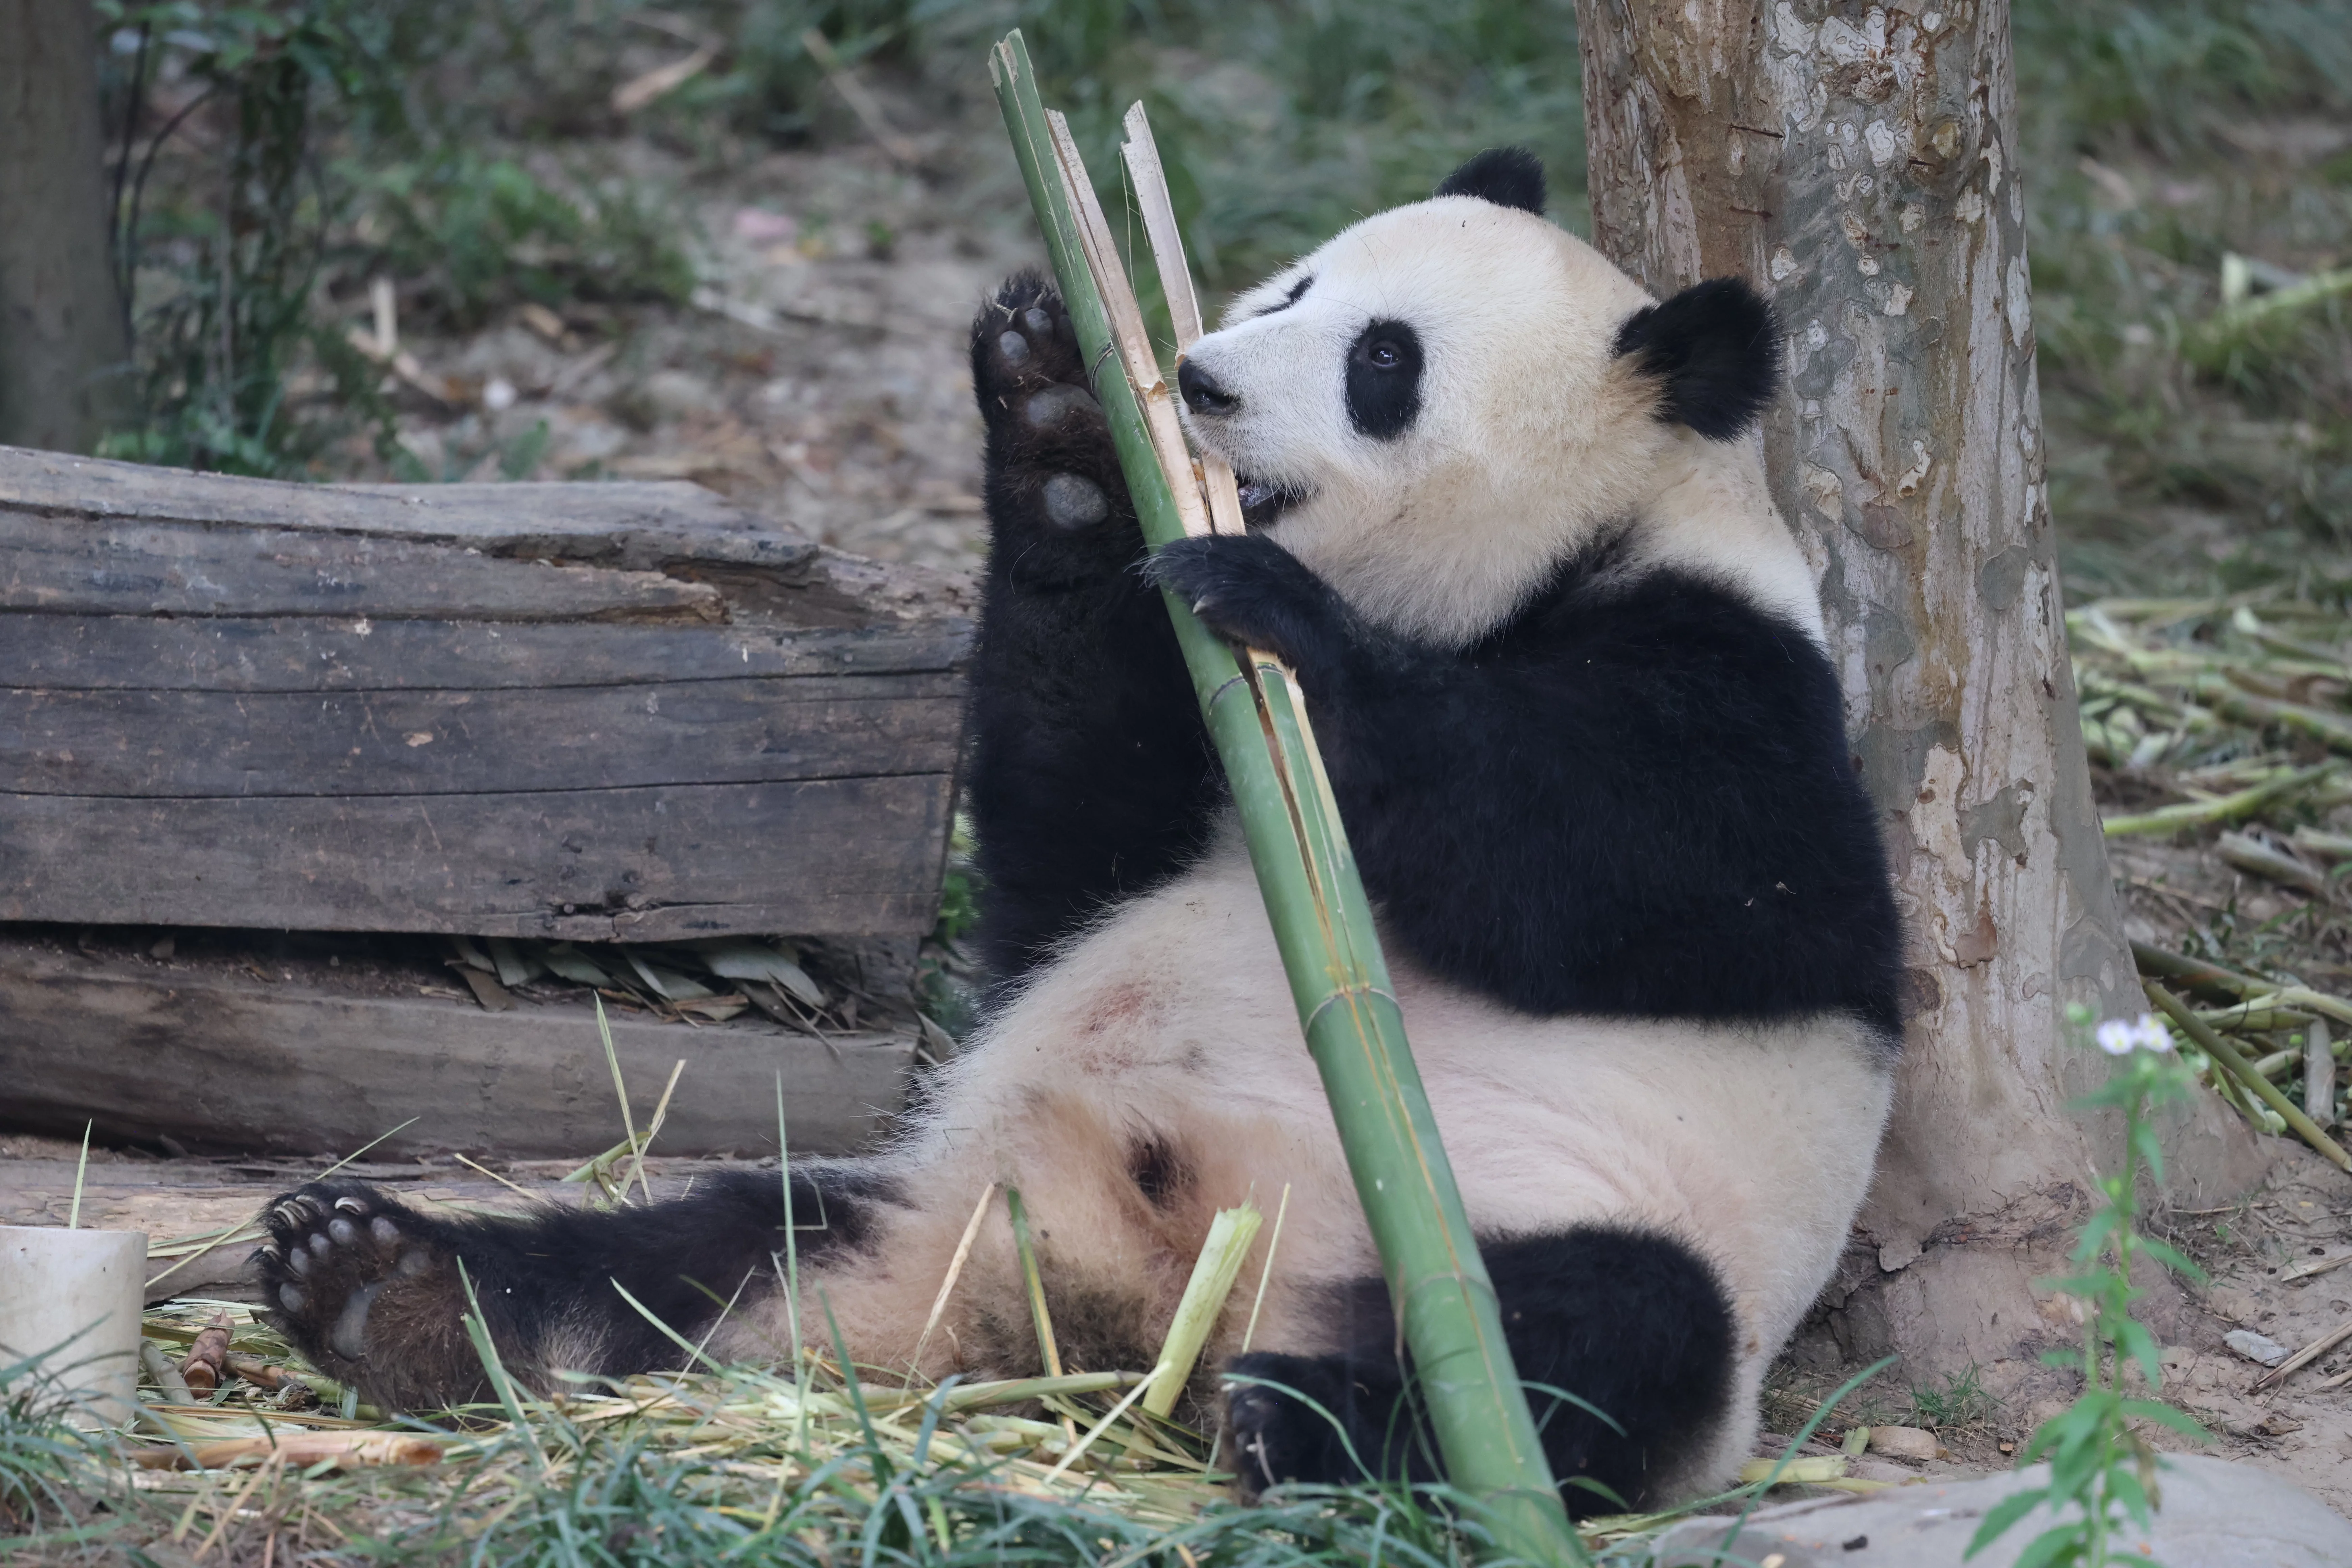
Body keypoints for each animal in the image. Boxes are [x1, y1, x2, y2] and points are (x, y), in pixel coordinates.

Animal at [255, 147, 1901, 1516]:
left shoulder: (1744, 686)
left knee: (1600, 1335)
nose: (1198, 379)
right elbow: (1072, 835)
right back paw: (385, 1286)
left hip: (1550, 1221)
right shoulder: (1175, 758)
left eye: (1383, 361)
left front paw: (1293, 619)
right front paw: (1054, 421)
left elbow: (1641, 874)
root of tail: (1154, 1295)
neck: (1541, 568)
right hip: (933, 1203)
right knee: (707, 1253)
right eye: (1294, 287)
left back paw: (1310, 1422)